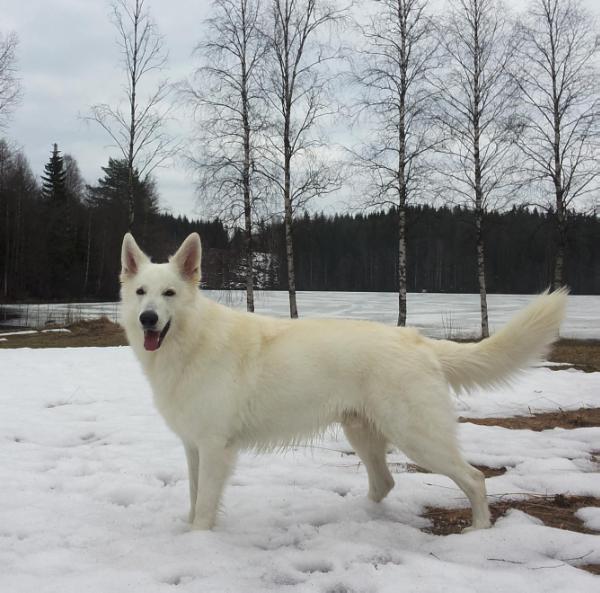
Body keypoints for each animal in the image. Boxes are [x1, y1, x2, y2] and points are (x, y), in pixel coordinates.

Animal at [120, 232, 568, 532]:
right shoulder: (194, 446)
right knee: (385, 483)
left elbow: (206, 505)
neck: (191, 341)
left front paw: (198, 539)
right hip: (363, 435)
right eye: (141, 292)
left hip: (418, 438)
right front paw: (190, 529)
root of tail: (417, 340)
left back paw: (479, 530)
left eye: (170, 293)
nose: (148, 319)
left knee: (473, 478)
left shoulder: (215, 448)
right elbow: (195, 496)